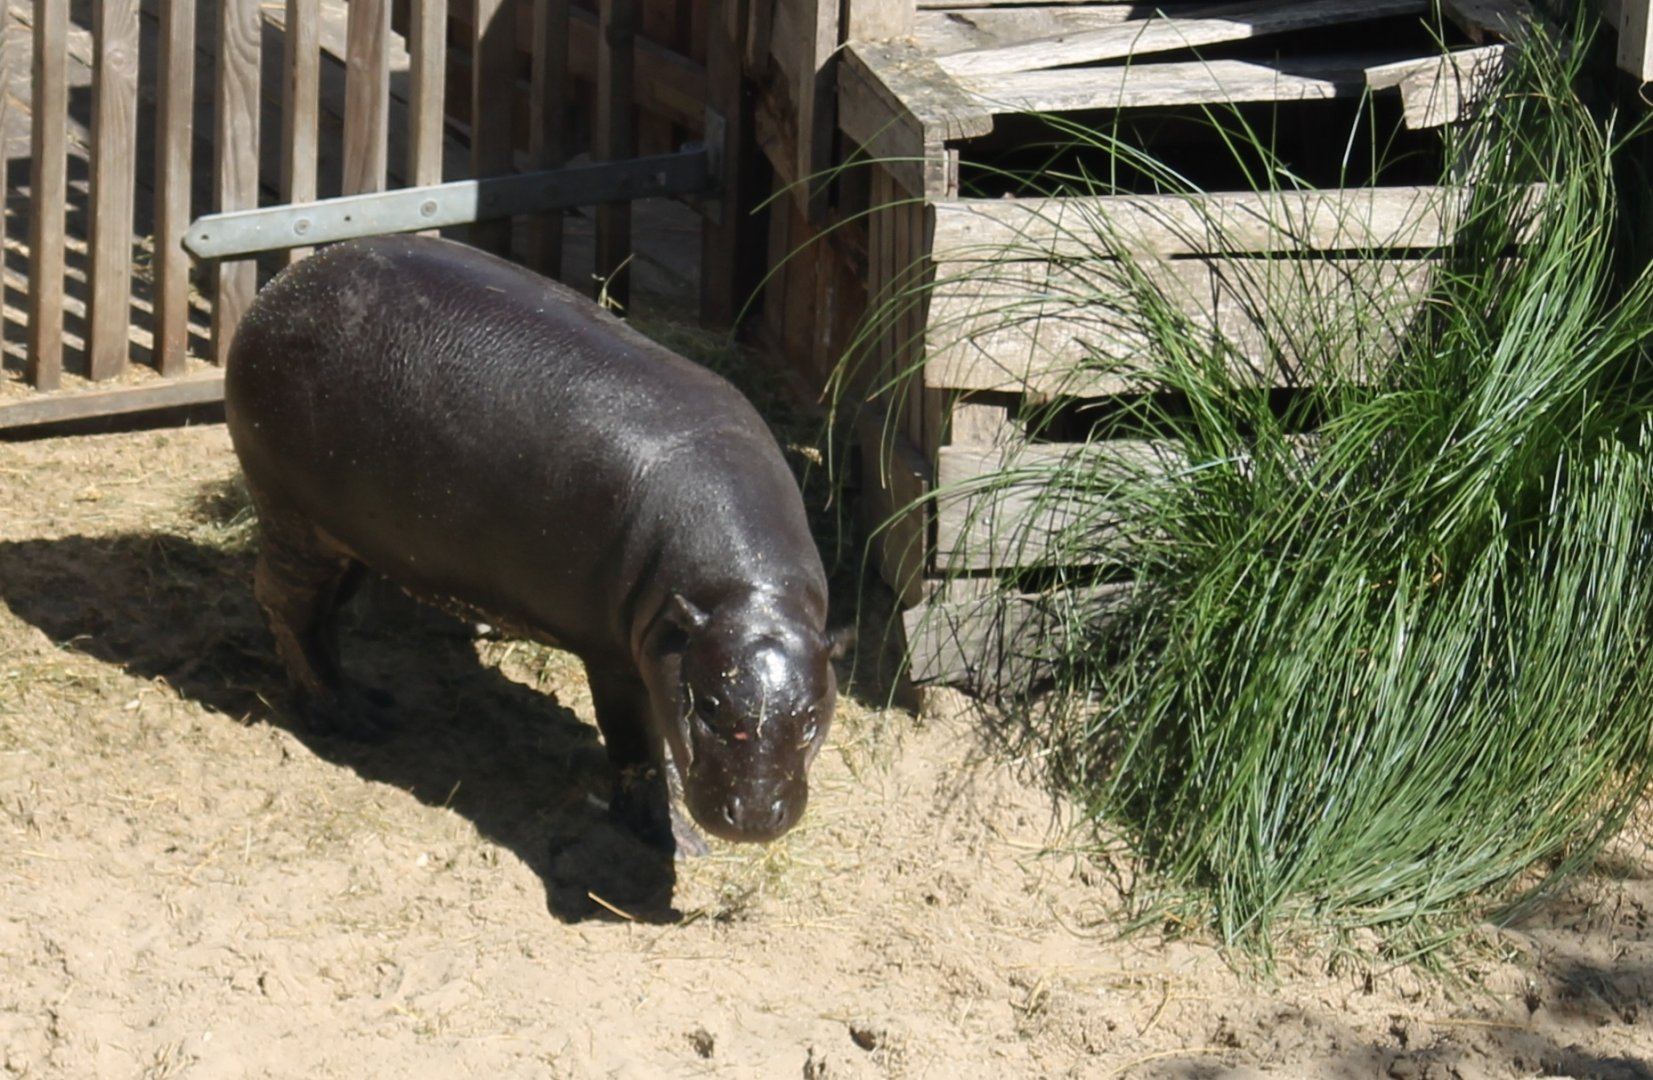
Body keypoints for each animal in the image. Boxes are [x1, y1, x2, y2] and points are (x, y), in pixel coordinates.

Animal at [224, 234, 843, 854]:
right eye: (710, 706)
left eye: (813, 718)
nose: (758, 818)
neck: (745, 592)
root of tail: (274, 292)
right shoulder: (615, 656)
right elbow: (635, 744)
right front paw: (672, 838)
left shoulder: (665, 653)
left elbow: (662, 736)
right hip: (293, 518)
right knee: (287, 604)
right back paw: (347, 716)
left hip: (350, 535)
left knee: (323, 609)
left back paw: (371, 702)